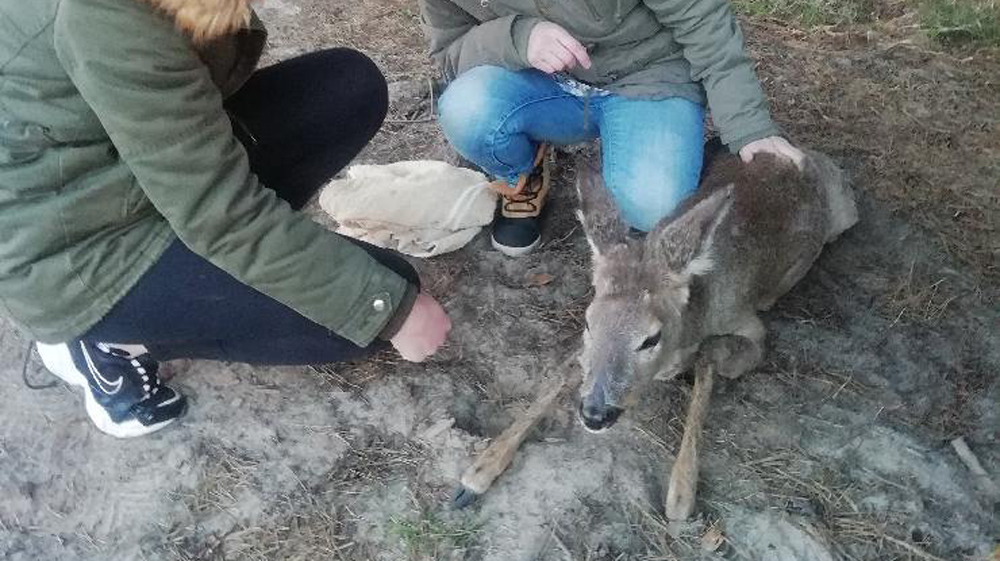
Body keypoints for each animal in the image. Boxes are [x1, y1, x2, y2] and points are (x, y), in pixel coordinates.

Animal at [452, 144, 852, 520]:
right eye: (588, 322)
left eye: (650, 338)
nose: (595, 414)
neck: (696, 314)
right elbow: (566, 370)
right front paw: (477, 472)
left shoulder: (750, 328)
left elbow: (709, 357)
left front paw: (680, 494)